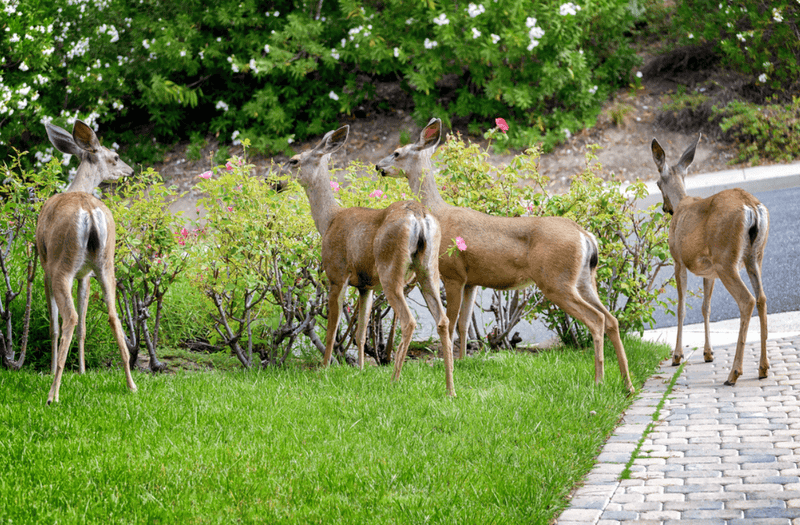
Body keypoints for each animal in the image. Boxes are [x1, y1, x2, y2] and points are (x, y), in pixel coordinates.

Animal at [36, 119, 138, 404]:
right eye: (116, 157)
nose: (130, 169)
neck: (77, 189)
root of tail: (90, 212)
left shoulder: (45, 266)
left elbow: (54, 324)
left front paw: (52, 370)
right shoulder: (85, 274)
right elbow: (83, 323)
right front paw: (81, 371)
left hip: (62, 264)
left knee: (69, 318)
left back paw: (53, 393)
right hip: (106, 264)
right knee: (112, 315)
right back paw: (131, 384)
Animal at [284, 125, 455, 396]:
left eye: (294, 161)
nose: (274, 182)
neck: (328, 221)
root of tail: (419, 216)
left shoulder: (337, 273)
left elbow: (332, 329)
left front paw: (324, 369)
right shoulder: (366, 286)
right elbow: (362, 330)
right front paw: (362, 370)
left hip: (390, 268)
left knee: (408, 320)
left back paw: (394, 381)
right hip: (428, 269)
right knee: (443, 320)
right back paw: (450, 389)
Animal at [376, 118, 634, 394]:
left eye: (397, 152)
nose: (378, 166)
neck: (439, 212)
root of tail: (585, 235)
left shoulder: (453, 273)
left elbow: (452, 321)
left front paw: (450, 365)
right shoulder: (472, 281)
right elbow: (464, 323)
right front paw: (463, 361)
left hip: (556, 280)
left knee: (596, 319)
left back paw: (599, 381)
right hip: (584, 278)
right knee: (612, 319)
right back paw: (627, 384)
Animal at [651, 135, 769, 385]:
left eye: (657, 184)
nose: (666, 208)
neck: (682, 202)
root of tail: (752, 207)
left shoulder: (678, 260)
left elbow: (682, 307)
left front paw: (677, 355)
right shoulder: (709, 271)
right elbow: (706, 307)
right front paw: (708, 353)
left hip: (726, 259)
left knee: (747, 300)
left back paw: (734, 373)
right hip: (754, 256)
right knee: (762, 298)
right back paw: (763, 368)